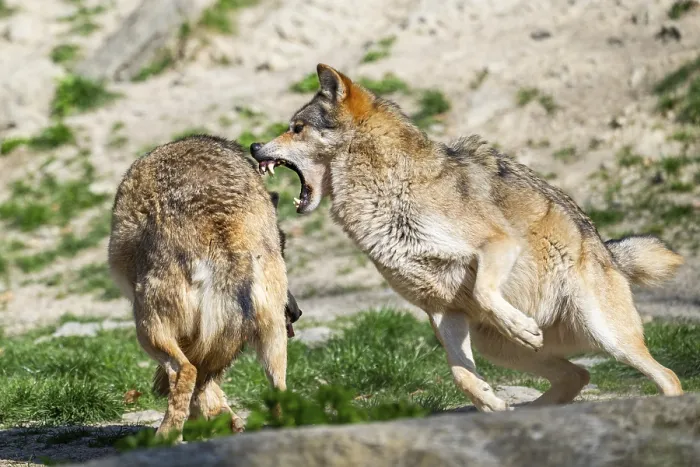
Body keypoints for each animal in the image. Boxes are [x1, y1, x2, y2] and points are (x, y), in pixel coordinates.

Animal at [109, 135, 301, 438]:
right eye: (283, 246)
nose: (296, 312)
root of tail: (229, 244)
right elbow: (209, 389)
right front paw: (223, 419)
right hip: (274, 339)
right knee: (278, 393)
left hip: (147, 326)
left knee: (185, 372)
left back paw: (165, 437)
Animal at [249, 64, 684, 411]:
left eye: (296, 128)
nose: (254, 145)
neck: (389, 193)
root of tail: (608, 251)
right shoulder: (442, 309)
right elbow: (461, 374)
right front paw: (488, 401)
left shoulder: (498, 245)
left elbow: (485, 292)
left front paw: (519, 326)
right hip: (502, 348)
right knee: (578, 375)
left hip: (607, 336)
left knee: (668, 377)